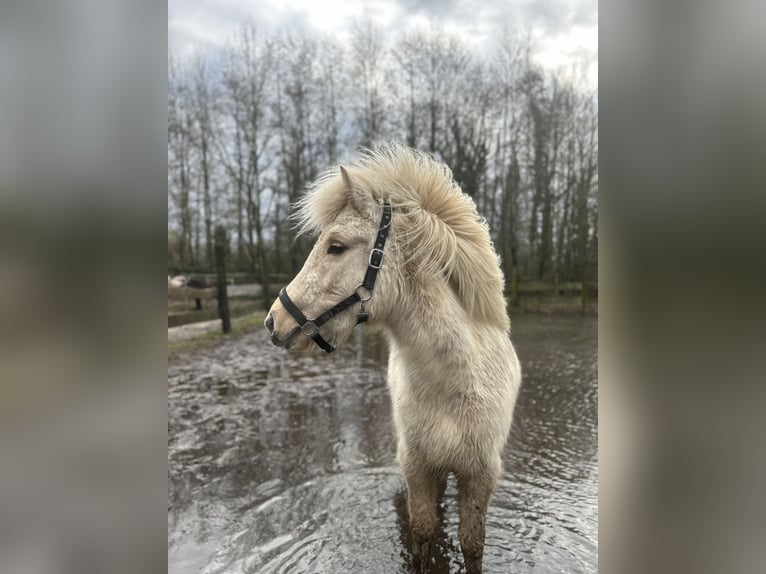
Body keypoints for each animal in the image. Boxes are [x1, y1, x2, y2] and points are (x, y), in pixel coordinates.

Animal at [265, 144, 521, 573]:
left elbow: (472, 543)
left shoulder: (480, 474)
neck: (457, 381)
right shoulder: (417, 466)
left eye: (336, 246)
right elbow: (422, 533)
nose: (274, 321)